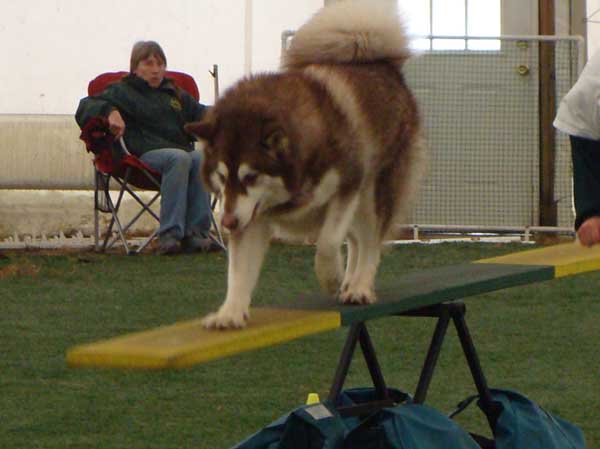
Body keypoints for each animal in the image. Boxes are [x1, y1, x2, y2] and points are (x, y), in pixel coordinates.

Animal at [188, 0, 426, 328]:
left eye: (251, 177)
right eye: (222, 178)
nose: (227, 223)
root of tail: (383, 66)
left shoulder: (348, 186)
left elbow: (327, 242)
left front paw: (330, 277)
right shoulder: (250, 217)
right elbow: (238, 272)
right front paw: (231, 312)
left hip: (373, 192)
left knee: (370, 242)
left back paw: (359, 286)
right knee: (357, 240)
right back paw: (350, 282)